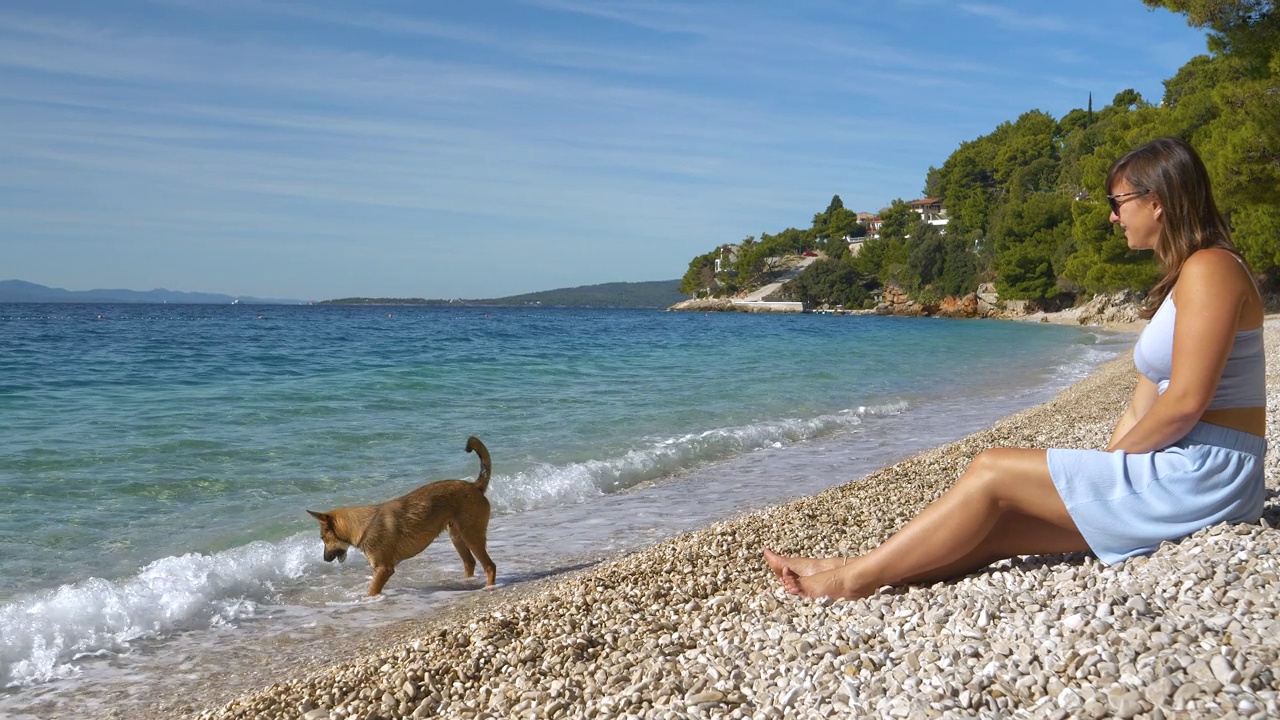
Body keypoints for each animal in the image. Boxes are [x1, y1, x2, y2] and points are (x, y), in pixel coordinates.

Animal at [304, 430, 494, 594]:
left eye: (323, 538)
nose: (325, 559)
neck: (363, 526)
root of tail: (475, 486)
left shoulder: (384, 569)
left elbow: (371, 592)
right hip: (456, 536)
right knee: (470, 563)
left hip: (471, 536)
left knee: (490, 566)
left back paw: (489, 588)